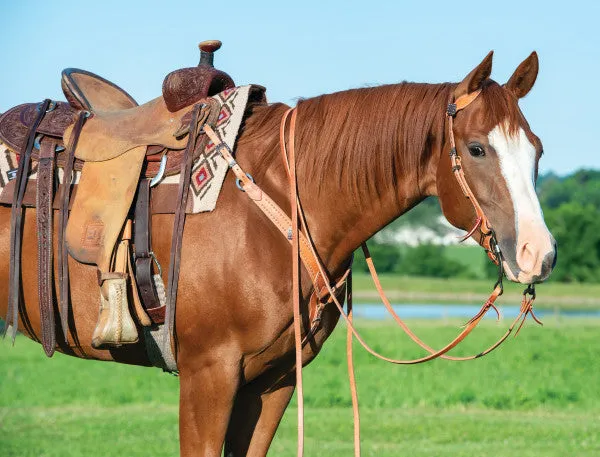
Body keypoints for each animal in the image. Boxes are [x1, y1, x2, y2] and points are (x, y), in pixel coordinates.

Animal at [0, 50, 556, 452]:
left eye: (537, 149)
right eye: (477, 148)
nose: (539, 254)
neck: (276, 202)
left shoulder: (274, 381)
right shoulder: (208, 376)